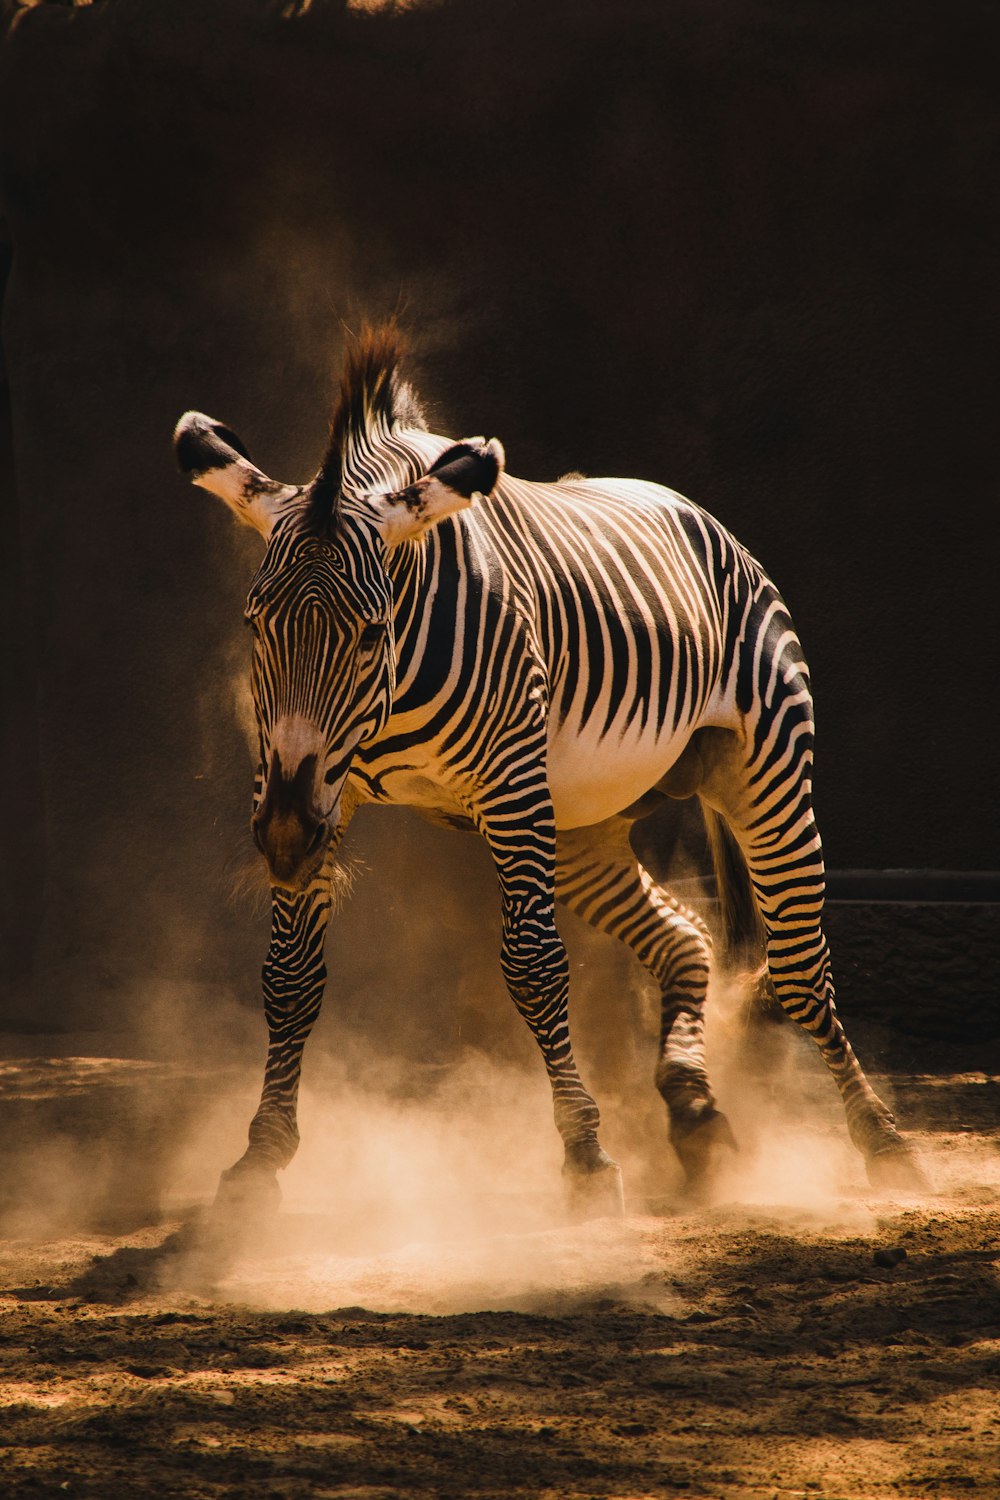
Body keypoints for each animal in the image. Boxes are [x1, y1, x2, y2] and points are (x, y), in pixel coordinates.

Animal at [173, 328, 929, 1218]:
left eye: (370, 633)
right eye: (254, 626)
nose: (287, 840)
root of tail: (697, 513)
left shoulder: (506, 783)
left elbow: (534, 966)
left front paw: (587, 1156)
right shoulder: (316, 784)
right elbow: (289, 978)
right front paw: (259, 1158)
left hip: (761, 769)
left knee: (802, 971)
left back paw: (883, 1140)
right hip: (580, 827)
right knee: (685, 936)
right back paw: (696, 1113)